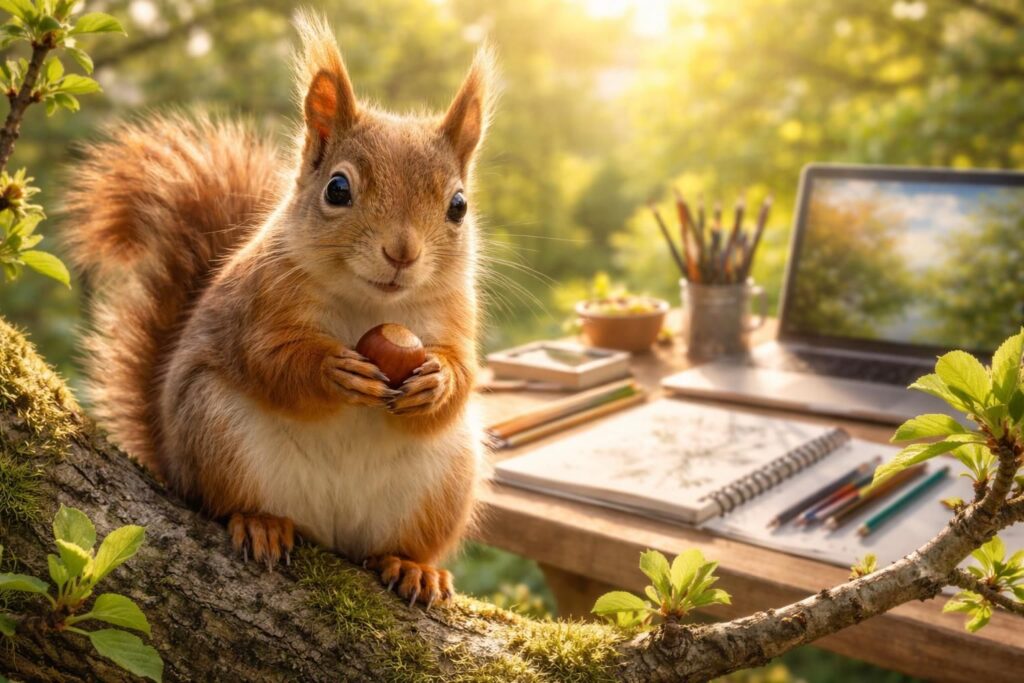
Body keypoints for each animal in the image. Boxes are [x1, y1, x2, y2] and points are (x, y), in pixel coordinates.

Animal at [64, 13, 493, 607]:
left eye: (459, 205)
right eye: (337, 189)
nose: (402, 253)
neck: (370, 304)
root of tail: (333, 533)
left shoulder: (457, 316)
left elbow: (465, 371)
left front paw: (437, 380)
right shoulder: (258, 303)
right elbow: (269, 361)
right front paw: (333, 370)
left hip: (445, 480)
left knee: (403, 543)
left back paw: (413, 567)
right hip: (217, 431)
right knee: (229, 501)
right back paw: (261, 523)